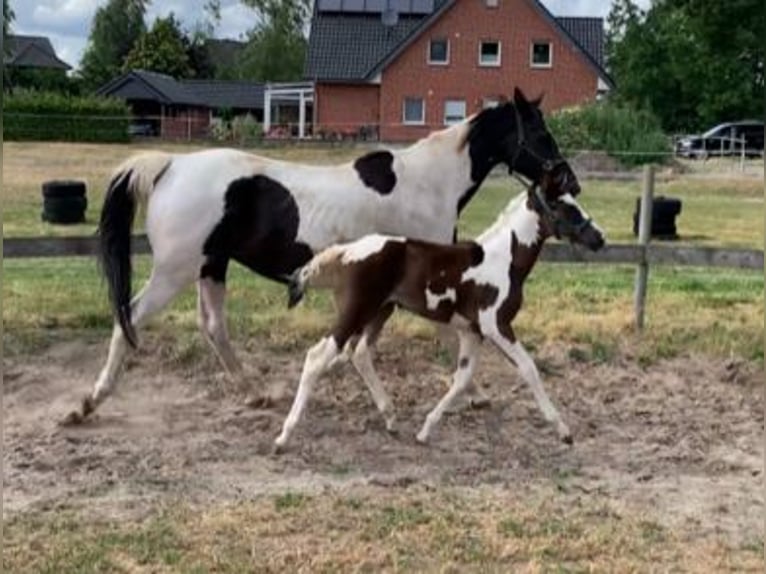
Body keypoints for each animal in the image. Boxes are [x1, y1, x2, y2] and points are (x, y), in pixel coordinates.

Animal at [65, 88, 581, 424]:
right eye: (540, 132)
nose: (569, 180)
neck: (430, 183)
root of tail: (169, 165)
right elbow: (447, 336)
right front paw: (474, 396)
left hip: (211, 266)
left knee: (213, 327)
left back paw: (257, 394)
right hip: (175, 270)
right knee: (129, 317)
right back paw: (89, 402)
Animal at [275, 175, 605, 450]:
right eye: (564, 207)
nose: (599, 238)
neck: (503, 260)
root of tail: (347, 251)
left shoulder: (472, 332)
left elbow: (462, 377)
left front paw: (425, 430)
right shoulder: (496, 326)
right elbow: (528, 368)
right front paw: (563, 431)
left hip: (381, 311)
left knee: (360, 354)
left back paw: (391, 418)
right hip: (357, 310)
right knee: (318, 357)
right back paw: (284, 436)